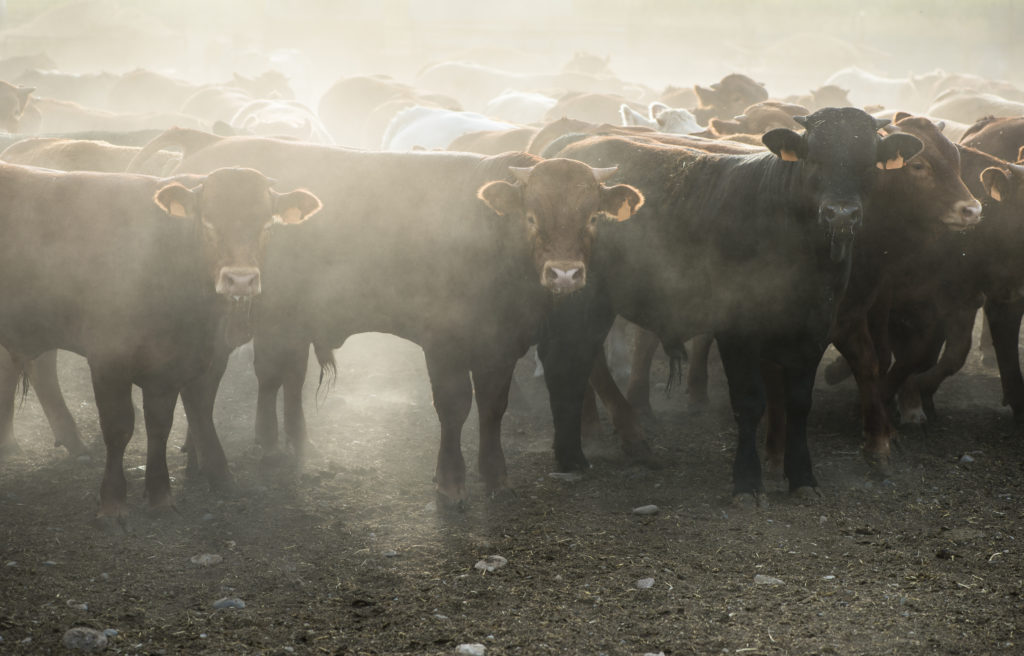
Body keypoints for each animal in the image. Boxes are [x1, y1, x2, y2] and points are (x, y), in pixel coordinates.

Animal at [0, 164, 322, 519]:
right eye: (208, 222)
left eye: (266, 225)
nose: (240, 280)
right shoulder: (108, 359)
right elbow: (119, 427)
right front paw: (113, 501)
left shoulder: (176, 364)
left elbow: (161, 424)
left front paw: (160, 494)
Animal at [127, 128, 643, 505]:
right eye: (532, 217)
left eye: (592, 219)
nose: (564, 273)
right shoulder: (444, 342)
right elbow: (454, 406)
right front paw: (450, 481)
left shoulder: (500, 345)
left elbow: (493, 408)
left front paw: (494, 475)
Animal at [538, 107, 923, 502]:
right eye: (814, 157)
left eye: (869, 162)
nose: (842, 215)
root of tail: (567, 151)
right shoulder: (737, 329)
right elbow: (750, 402)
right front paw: (747, 480)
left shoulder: (815, 327)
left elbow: (800, 402)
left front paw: (802, 476)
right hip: (580, 297)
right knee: (568, 363)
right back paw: (583, 450)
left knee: (582, 361)